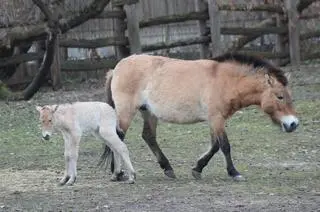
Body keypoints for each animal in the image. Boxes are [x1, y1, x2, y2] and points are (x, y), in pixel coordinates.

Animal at [101, 53, 298, 181]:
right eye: (280, 96)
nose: (293, 124)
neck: (225, 80)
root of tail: (116, 69)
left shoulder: (215, 120)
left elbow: (215, 145)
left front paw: (198, 168)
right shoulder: (216, 118)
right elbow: (224, 146)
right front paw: (234, 172)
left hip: (148, 112)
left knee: (148, 137)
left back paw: (167, 169)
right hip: (126, 112)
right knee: (117, 137)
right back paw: (118, 173)